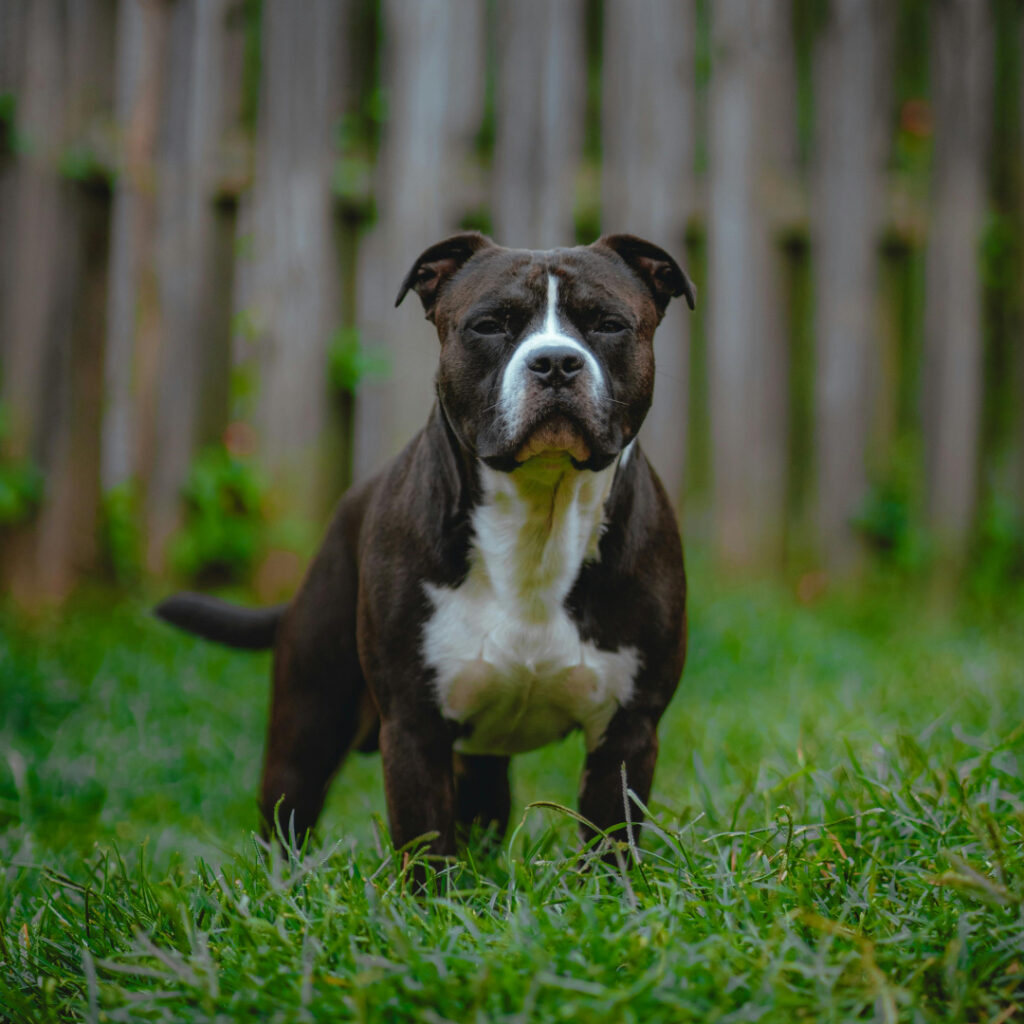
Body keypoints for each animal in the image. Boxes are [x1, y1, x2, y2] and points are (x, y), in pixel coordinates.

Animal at [153, 230, 696, 856]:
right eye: (489, 325)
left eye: (607, 324)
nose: (556, 362)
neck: (538, 517)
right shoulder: (414, 730)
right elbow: (428, 850)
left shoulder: (627, 732)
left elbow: (609, 848)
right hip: (307, 722)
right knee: (287, 818)